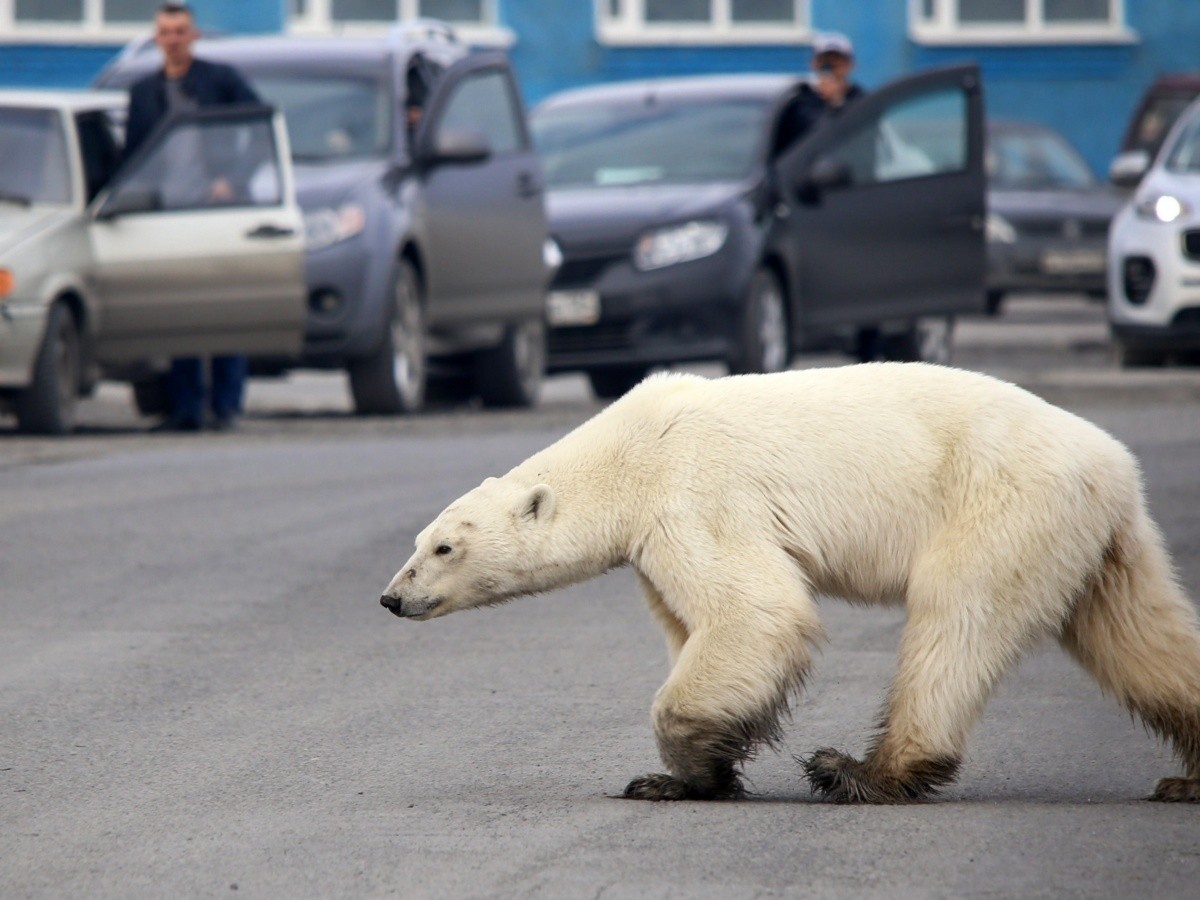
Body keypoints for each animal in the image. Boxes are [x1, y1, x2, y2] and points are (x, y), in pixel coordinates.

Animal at [379, 363, 1200, 804]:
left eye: (444, 546)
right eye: (417, 542)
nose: (391, 597)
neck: (627, 450)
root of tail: (1114, 464)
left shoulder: (694, 492)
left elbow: (754, 611)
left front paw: (686, 766)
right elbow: (691, 625)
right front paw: (690, 776)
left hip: (1001, 504)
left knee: (956, 618)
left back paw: (862, 771)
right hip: (1097, 540)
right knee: (1141, 636)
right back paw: (1185, 780)